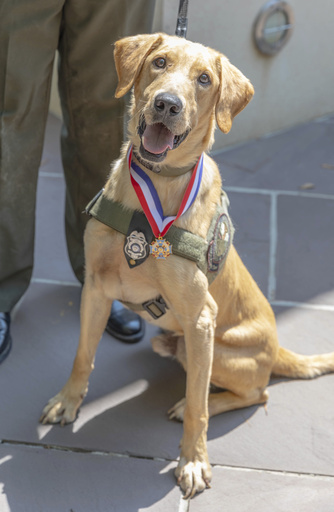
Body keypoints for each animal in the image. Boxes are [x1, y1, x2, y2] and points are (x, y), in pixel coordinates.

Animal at [41, 34, 334, 498]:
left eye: (204, 79)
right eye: (159, 62)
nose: (167, 104)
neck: (157, 186)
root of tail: (277, 349)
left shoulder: (200, 318)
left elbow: (199, 405)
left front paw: (193, 460)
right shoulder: (96, 288)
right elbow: (82, 355)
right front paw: (68, 401)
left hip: (221, 353)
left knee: (257, 393)